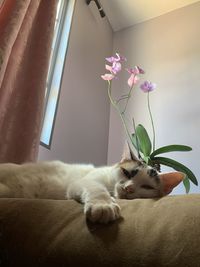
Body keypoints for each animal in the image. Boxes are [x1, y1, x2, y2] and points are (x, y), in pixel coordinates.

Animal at [0, 146, 184, 223]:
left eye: (147, 187)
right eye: (127, 173)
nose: (129, 188)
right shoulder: (85, 182)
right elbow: (98, 190)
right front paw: (103, 206)